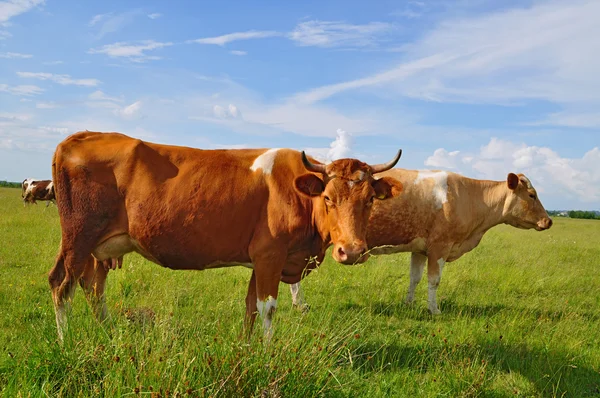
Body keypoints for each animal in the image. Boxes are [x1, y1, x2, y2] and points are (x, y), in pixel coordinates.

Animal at [48, 132, 404, 340]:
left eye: (370, 200)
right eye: (328, 198)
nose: (352, 251)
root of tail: (80, 136)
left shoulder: (260, 259)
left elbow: (250, 307)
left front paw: (247, 348)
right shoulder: (271, 255)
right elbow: (267, 307)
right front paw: (267, 353)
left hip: (100, 247)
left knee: (93, 287)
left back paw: (107, 333)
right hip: (78, 238)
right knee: (62, 284)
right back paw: (67, 342)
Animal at [290, 169, 552, 316]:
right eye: (531, 195)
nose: (548, 221)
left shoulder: (420, 249)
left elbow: (414, 278)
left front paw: (408, 303)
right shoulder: (440, 246)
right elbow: (434, 281)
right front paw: (434, 310)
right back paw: (300, 305)